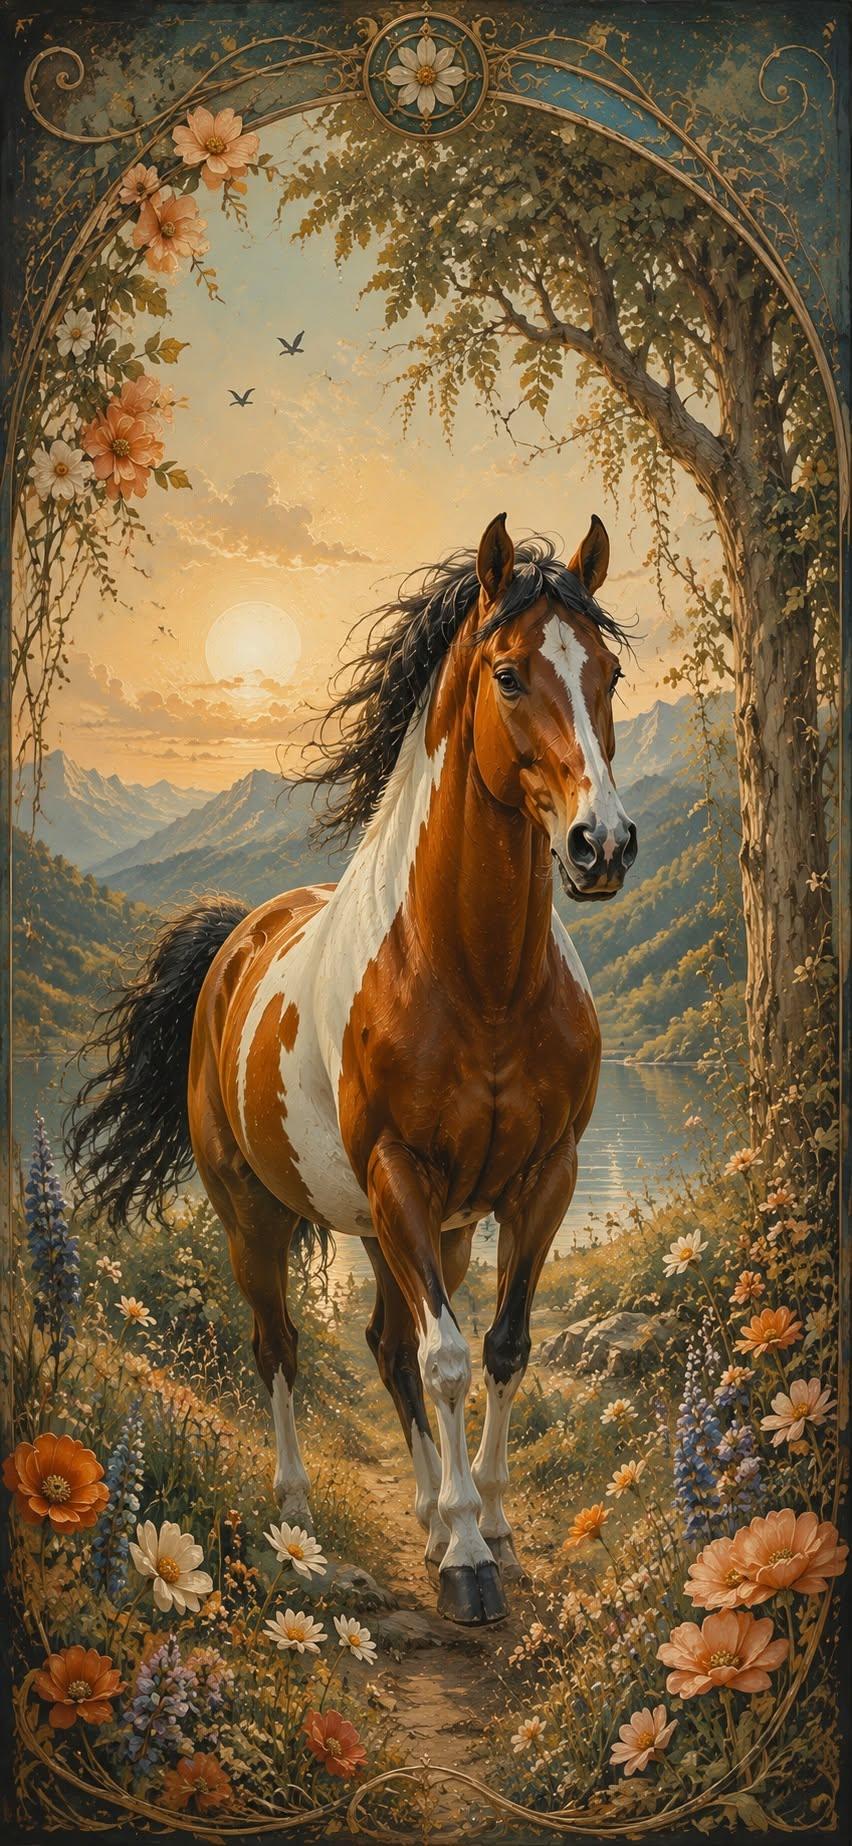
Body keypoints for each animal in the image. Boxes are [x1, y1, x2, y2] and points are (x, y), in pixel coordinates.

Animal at [66, 514, 637, 1626]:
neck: (478, 978)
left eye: (610, 672)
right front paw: (467, 1559)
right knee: (284, 1346)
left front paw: (487, 1525)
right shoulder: (399, 1172)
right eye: (509, 673)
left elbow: (501, 1346)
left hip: (414, 1228)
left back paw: (425, 1515)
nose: (603, 845)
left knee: (383, 1343)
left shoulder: (540, 1178)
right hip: (260, 1214)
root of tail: (233, 942)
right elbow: (447, 1356)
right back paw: (301, 1526)